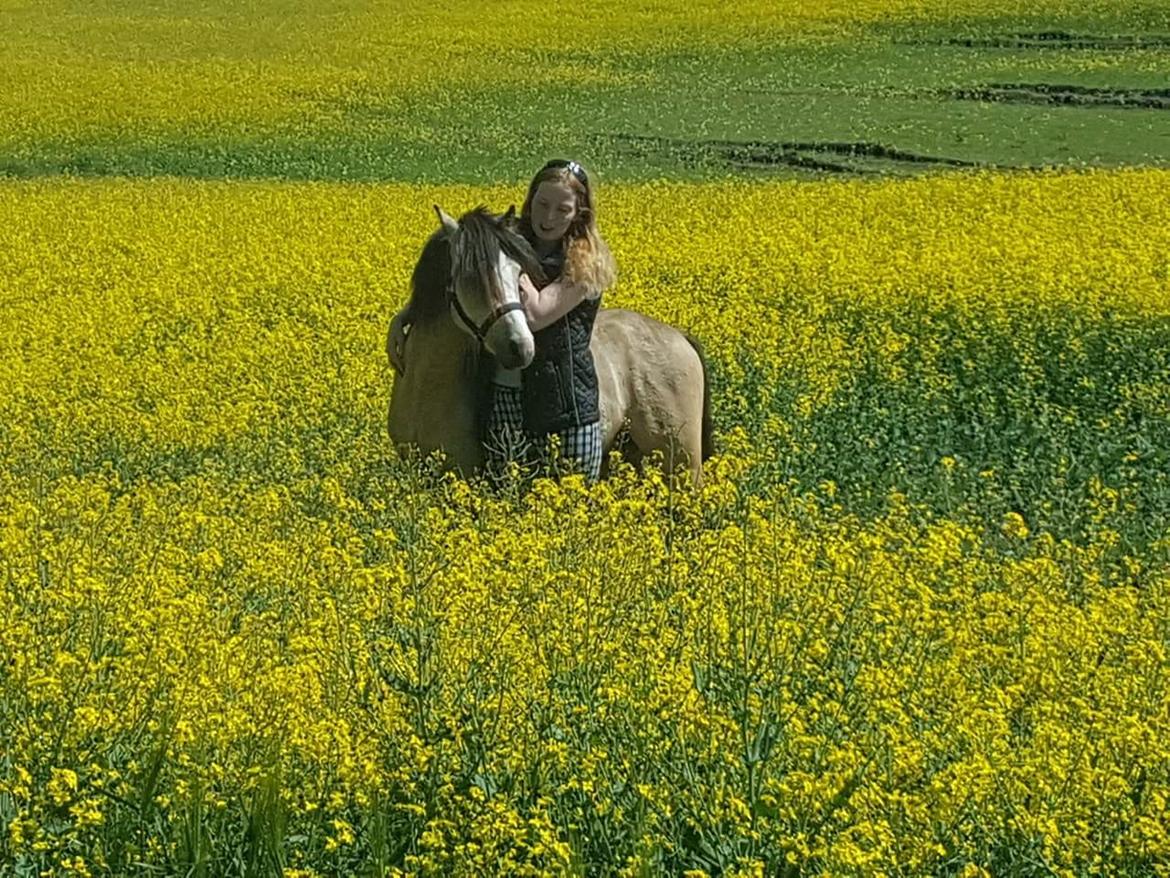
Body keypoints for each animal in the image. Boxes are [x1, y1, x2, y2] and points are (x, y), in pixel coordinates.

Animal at [386, 204, 714, 485]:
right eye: (468, 277)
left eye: (519, 274)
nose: (520, 348)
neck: (424, 382)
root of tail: (679, 336)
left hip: (682, 462)